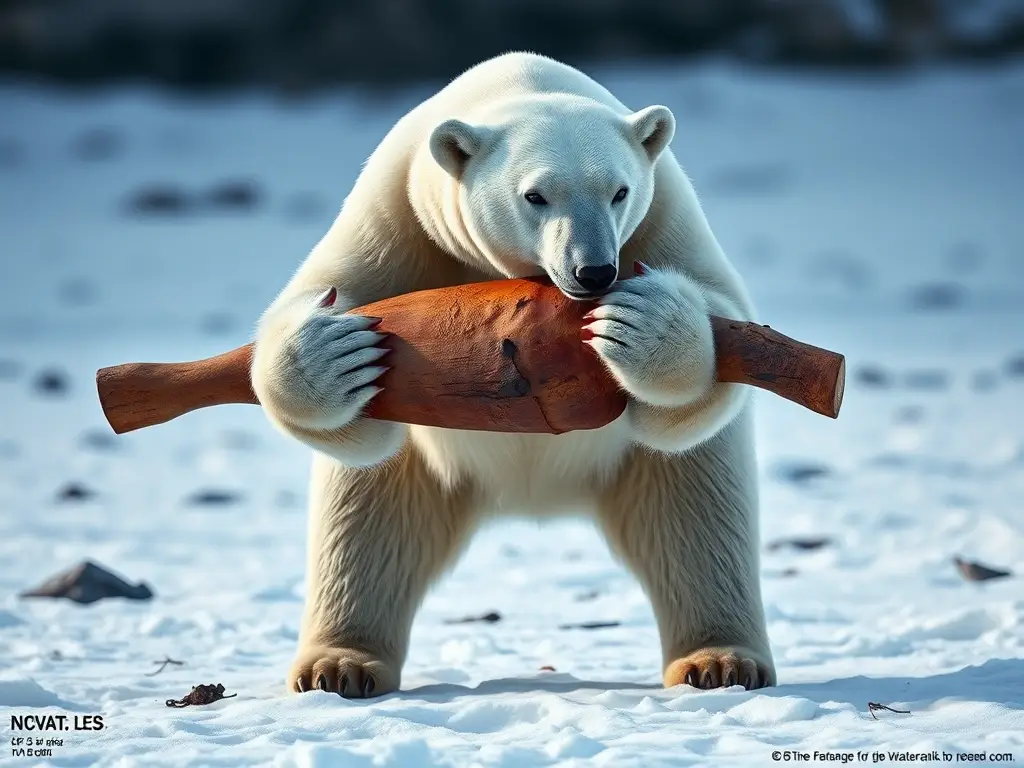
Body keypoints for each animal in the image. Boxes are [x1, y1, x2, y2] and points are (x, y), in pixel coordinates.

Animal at [251, 51, 775, 698]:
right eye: (536, 195)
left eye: (619, 191)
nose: (594, 270)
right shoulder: (398, 224)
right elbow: (324, 305)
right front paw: (333, 351)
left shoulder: (660, 221)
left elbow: (724, 326)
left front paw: (639, 323)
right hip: (423, 470)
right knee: (365, 530)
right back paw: (339, 665)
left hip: (653, 467)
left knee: (699, 526)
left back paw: (719, 660)